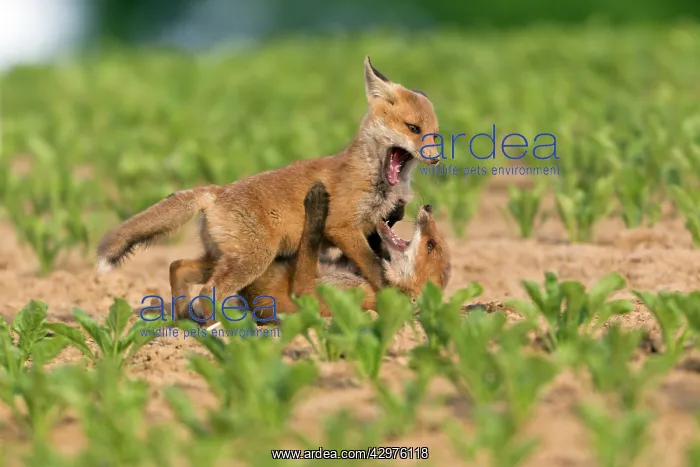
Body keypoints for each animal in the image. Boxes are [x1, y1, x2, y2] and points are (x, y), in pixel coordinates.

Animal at [229, 181, 452, 321]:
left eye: (430, 244)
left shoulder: (311, 294)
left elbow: (311, 239)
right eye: (435, 242)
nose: (429, 207)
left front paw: (317, 206)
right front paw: (392, 208)